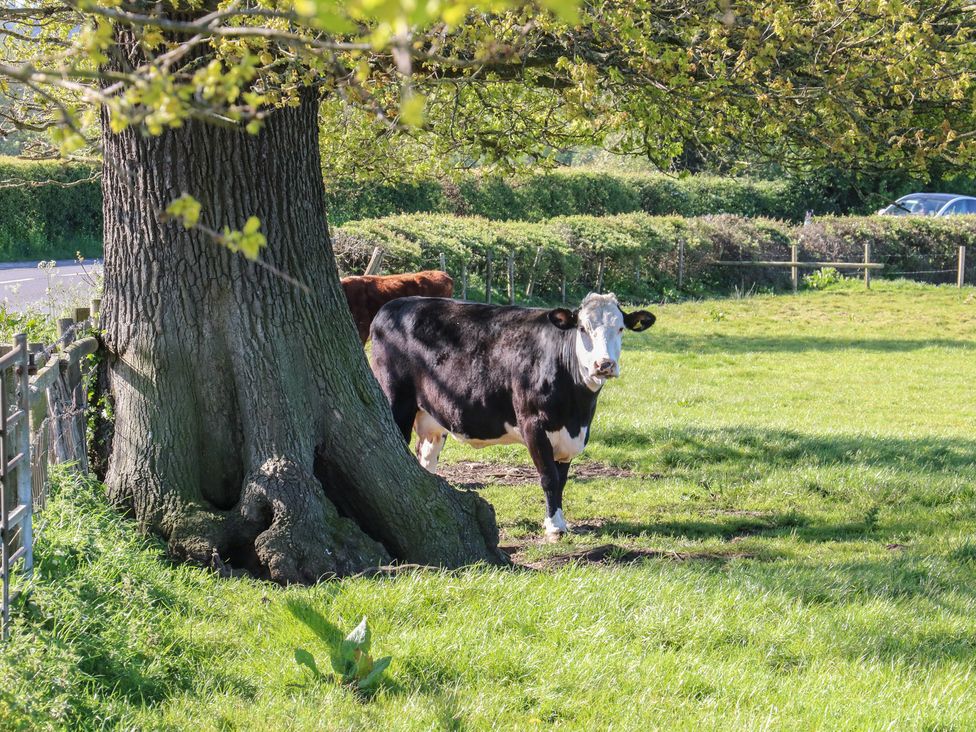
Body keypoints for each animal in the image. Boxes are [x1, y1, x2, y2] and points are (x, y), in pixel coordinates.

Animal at [369, 292, 655, 539]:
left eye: (620, 328)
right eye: (583, 329)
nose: (604, 364)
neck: (577, 411)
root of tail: (394, 305)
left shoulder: (570, 435)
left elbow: (561, 480)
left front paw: (559, 520)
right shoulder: (533, 425)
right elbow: (549, 477)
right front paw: (554, 527)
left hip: (431, 418)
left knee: (425, 457)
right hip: (395, 399)